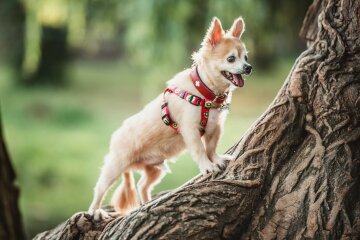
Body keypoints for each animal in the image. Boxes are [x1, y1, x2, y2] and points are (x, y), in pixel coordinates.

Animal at [88, 15, 252, 218]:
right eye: (231, 59)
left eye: (246, 58)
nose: (248, 68)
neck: (204, 92)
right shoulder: (190, 129)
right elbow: (200, 150)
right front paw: (207, 166)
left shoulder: (215, 127)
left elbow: (211, 147)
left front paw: (216, 159)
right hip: (115, 166)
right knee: (99, 188)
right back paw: (95, 212)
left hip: (154, 170)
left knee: (142, 184)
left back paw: (147, 203)